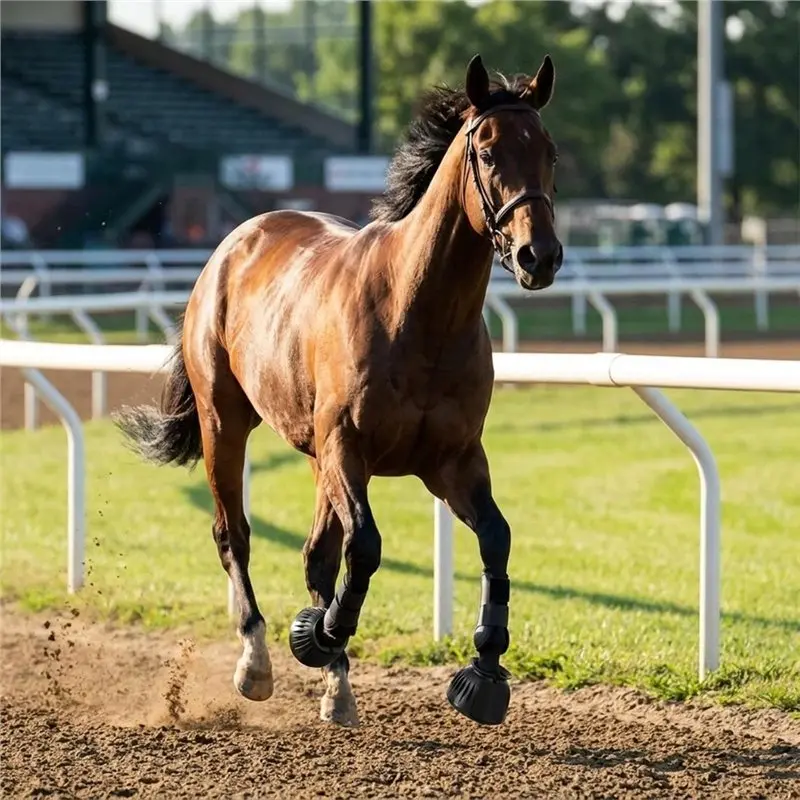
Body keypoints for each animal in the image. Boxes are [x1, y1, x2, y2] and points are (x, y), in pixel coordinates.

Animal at [115, 53, 562, 727]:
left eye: (549, 153)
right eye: (487, 151)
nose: (541, 255)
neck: (418, 313)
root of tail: (235, 240)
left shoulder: (452, 461)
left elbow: (496, 538)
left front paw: (483, 673)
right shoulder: (347, 448)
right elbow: (367, 546)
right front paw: (319, 633)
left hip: (312, 450)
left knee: (316, 553)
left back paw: (337, 685)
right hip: (227, 422)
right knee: (234, 533)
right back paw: (259, 659)